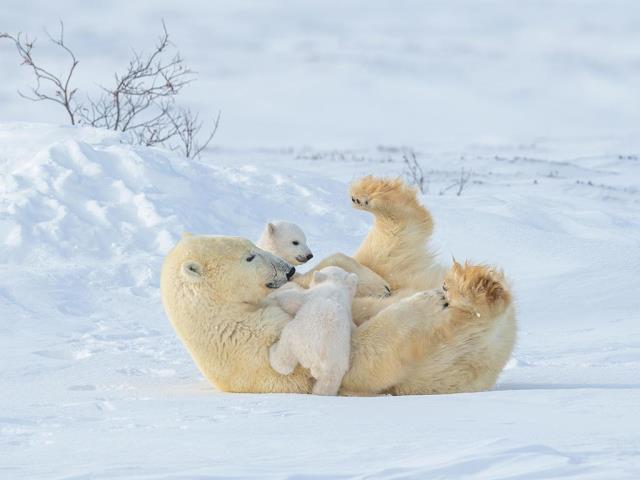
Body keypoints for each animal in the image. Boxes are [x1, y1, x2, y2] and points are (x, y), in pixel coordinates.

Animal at [268, 266, 358, 395]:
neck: (336, 285)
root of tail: (317, 362)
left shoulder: (312, 295)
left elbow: (292, 299)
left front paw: (280, 294)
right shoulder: (348, 311)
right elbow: (353, 325)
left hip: (295, 339)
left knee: (284, 360)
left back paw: (273, 350)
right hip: (336, 366)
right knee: (327, 385)